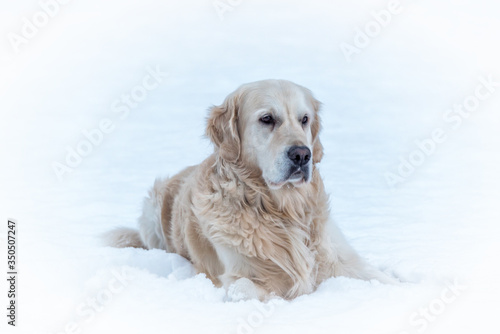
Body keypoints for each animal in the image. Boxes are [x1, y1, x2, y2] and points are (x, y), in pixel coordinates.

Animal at [107, 80, 396, 300]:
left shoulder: (341, 259)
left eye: (304, 119)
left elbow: (381, 277)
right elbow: (248, 289)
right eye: (267, 119)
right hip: (151, 210)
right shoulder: (239, 276)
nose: (302, 155)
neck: (281, 210)